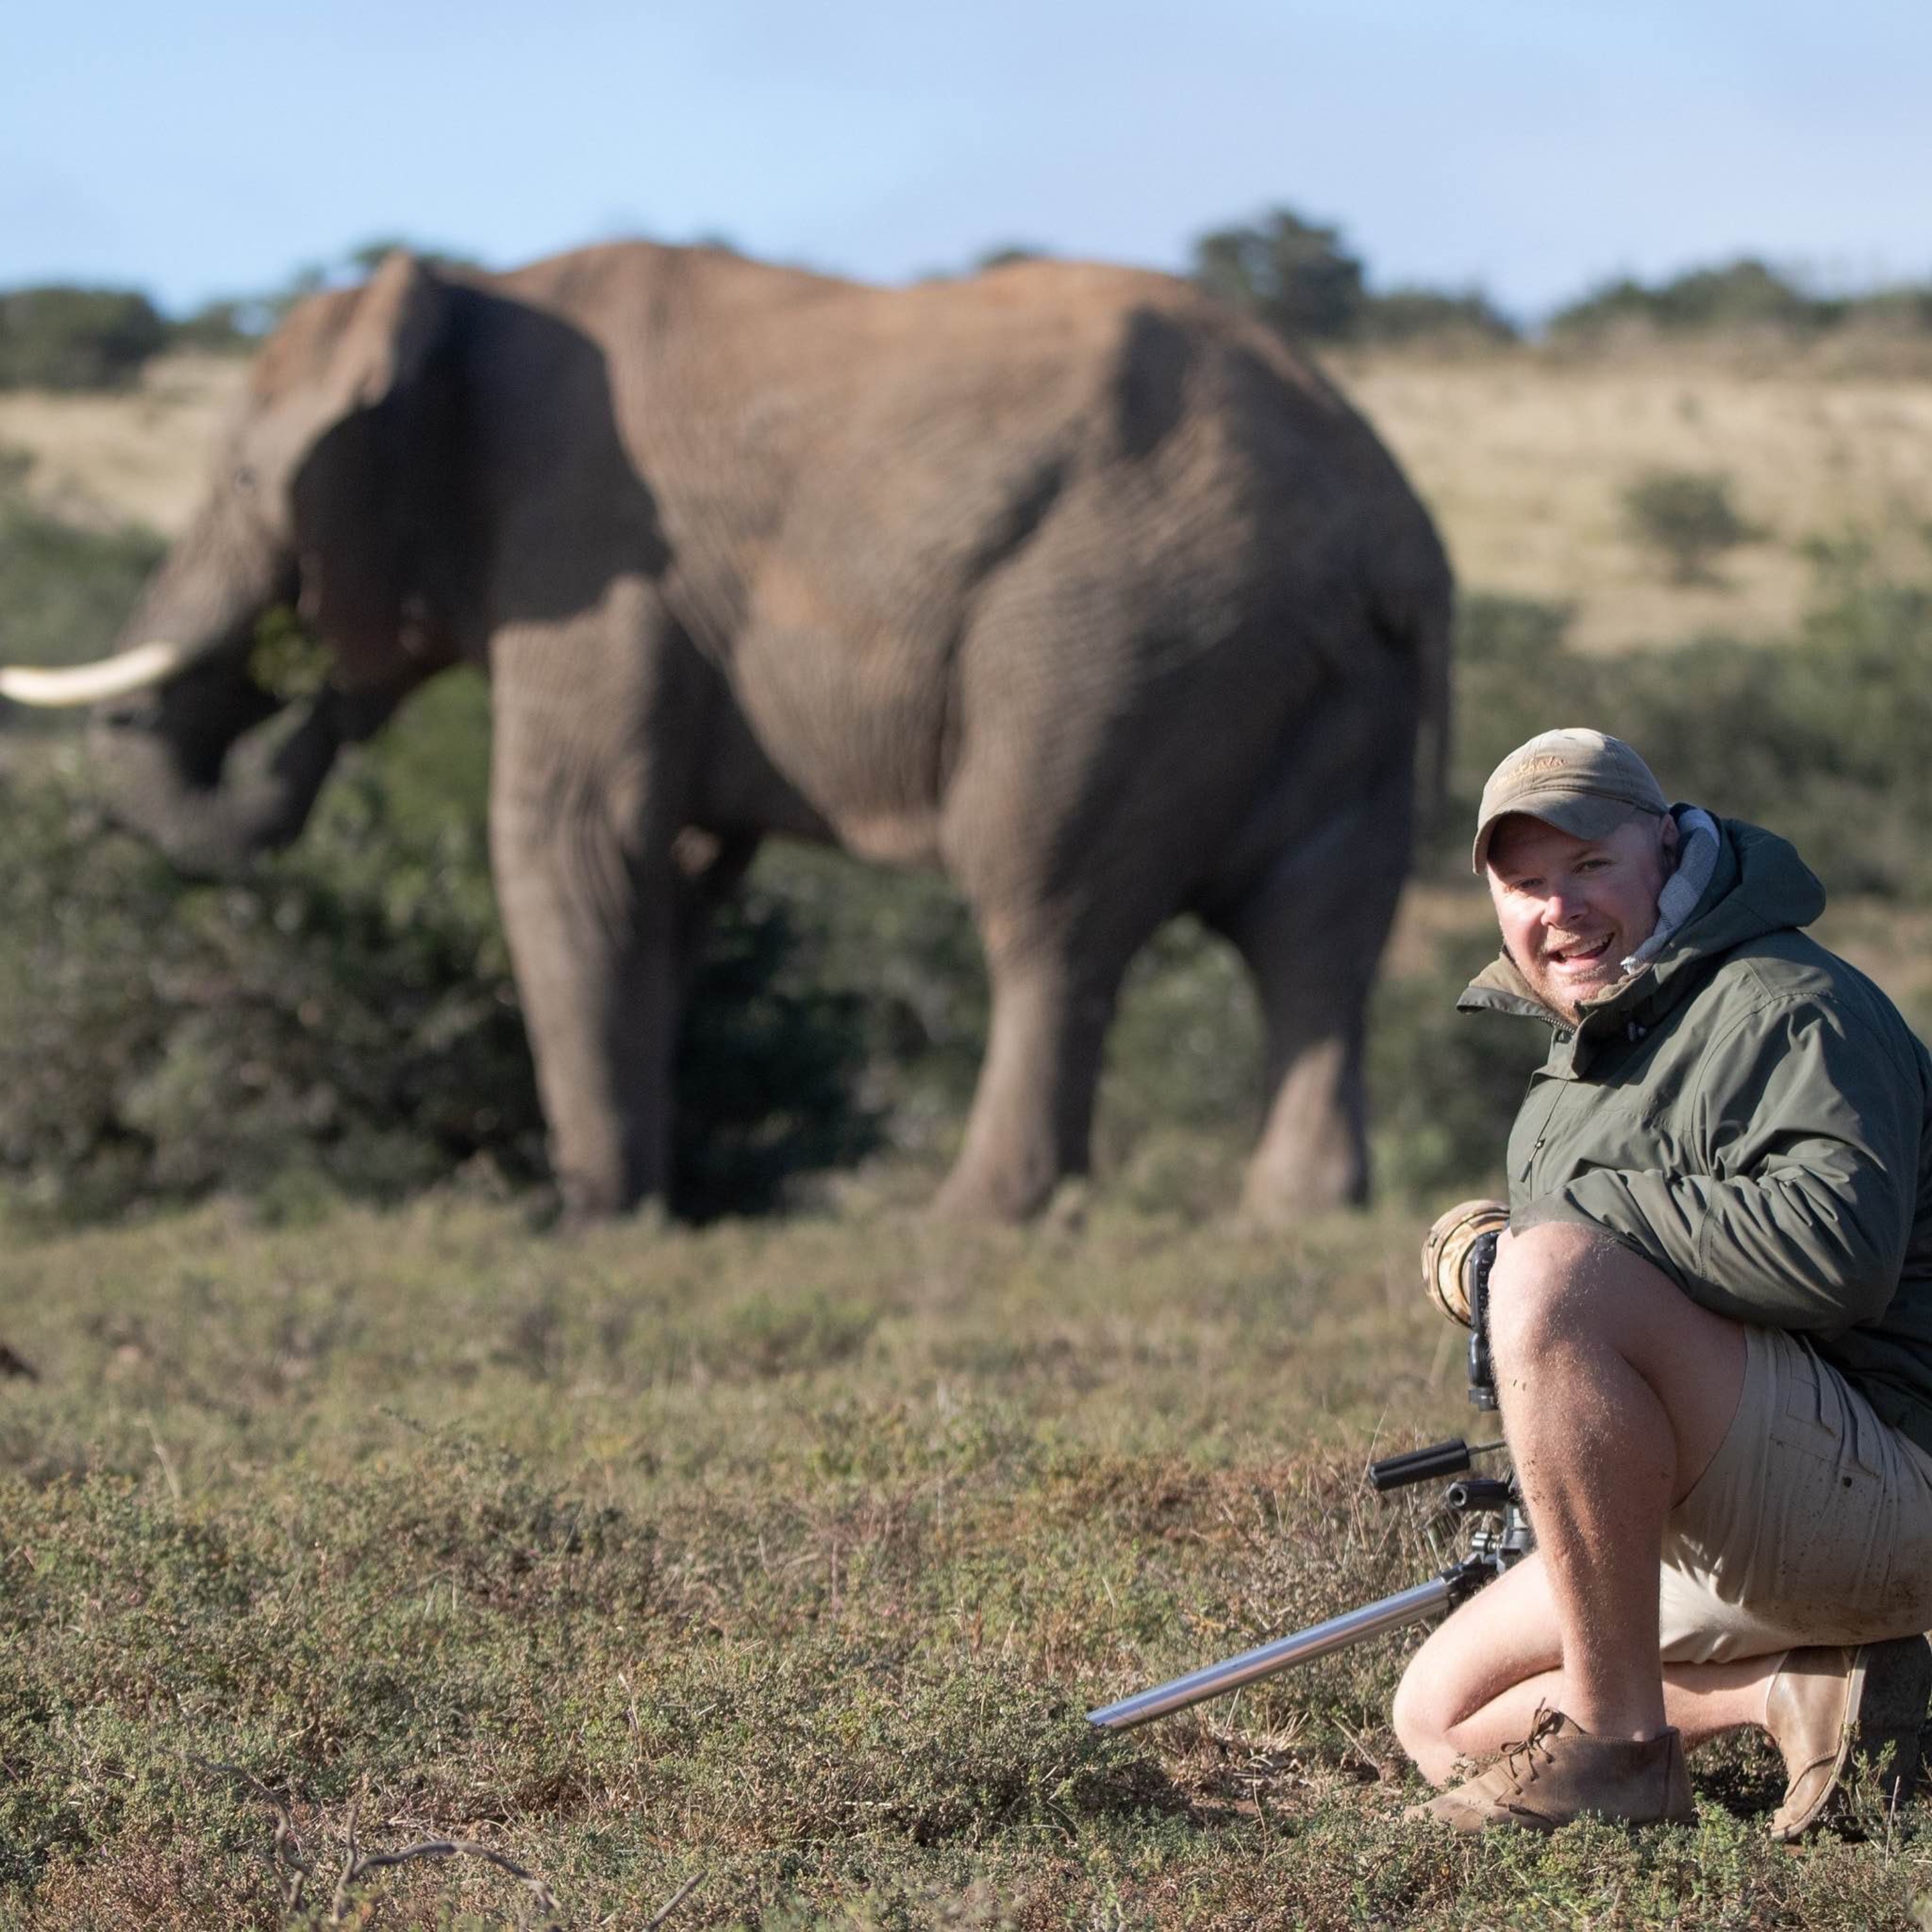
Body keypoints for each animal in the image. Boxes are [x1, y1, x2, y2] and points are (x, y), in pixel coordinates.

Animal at [0, 242, 1453, 1221]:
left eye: (248, 478)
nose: (311, 680)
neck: (478, 289)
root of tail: (1386, 524)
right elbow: (680, 882)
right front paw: (648, 1209)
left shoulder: (589, 548)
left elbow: (572, 847)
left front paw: (590, 1221)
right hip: (1318, 671)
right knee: (1323, 939)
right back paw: (1294, 1213)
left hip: (1117, 633)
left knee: (1048, 909)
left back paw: (973, 1219)